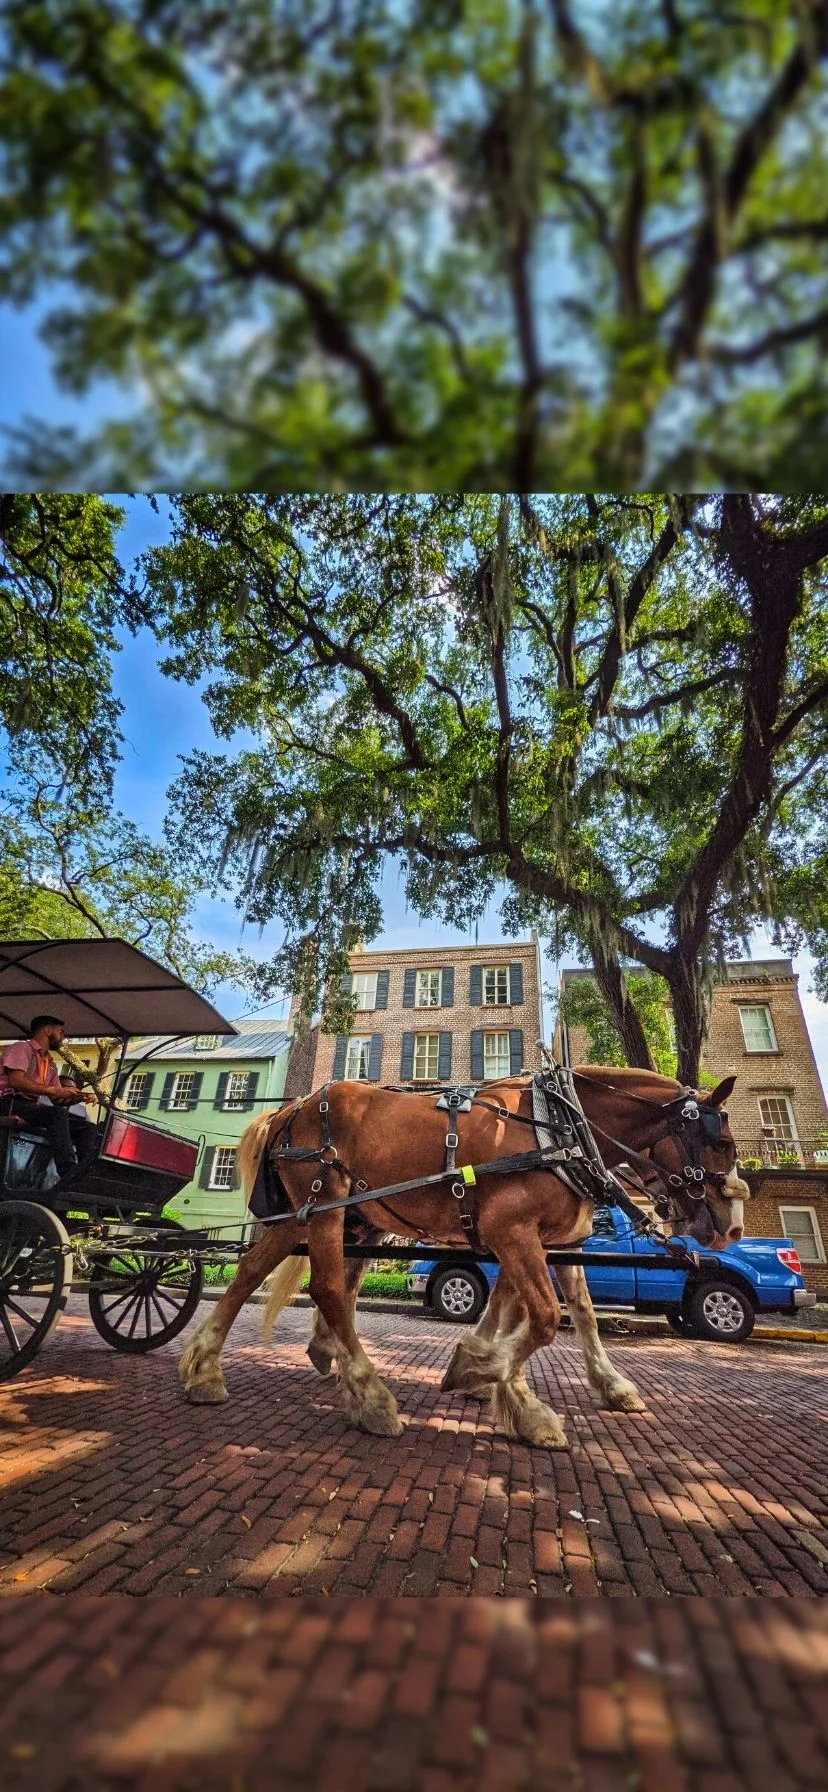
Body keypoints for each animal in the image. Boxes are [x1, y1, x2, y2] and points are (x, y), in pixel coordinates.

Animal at [178, 1068, 745, 1447]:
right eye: (722, 1144)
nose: (731, 1226)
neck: (558, 1127)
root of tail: (290, 1108)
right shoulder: (511, 1231)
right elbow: (541, 1318)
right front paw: (492, 1380)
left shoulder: (549, 1241)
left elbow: (574, 1313)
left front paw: (602, 1385)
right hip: (324, 1207)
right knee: (330, 1290)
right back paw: (370, 1396)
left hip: (303, 1214)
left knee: (251, 1271)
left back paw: (206, 1370)